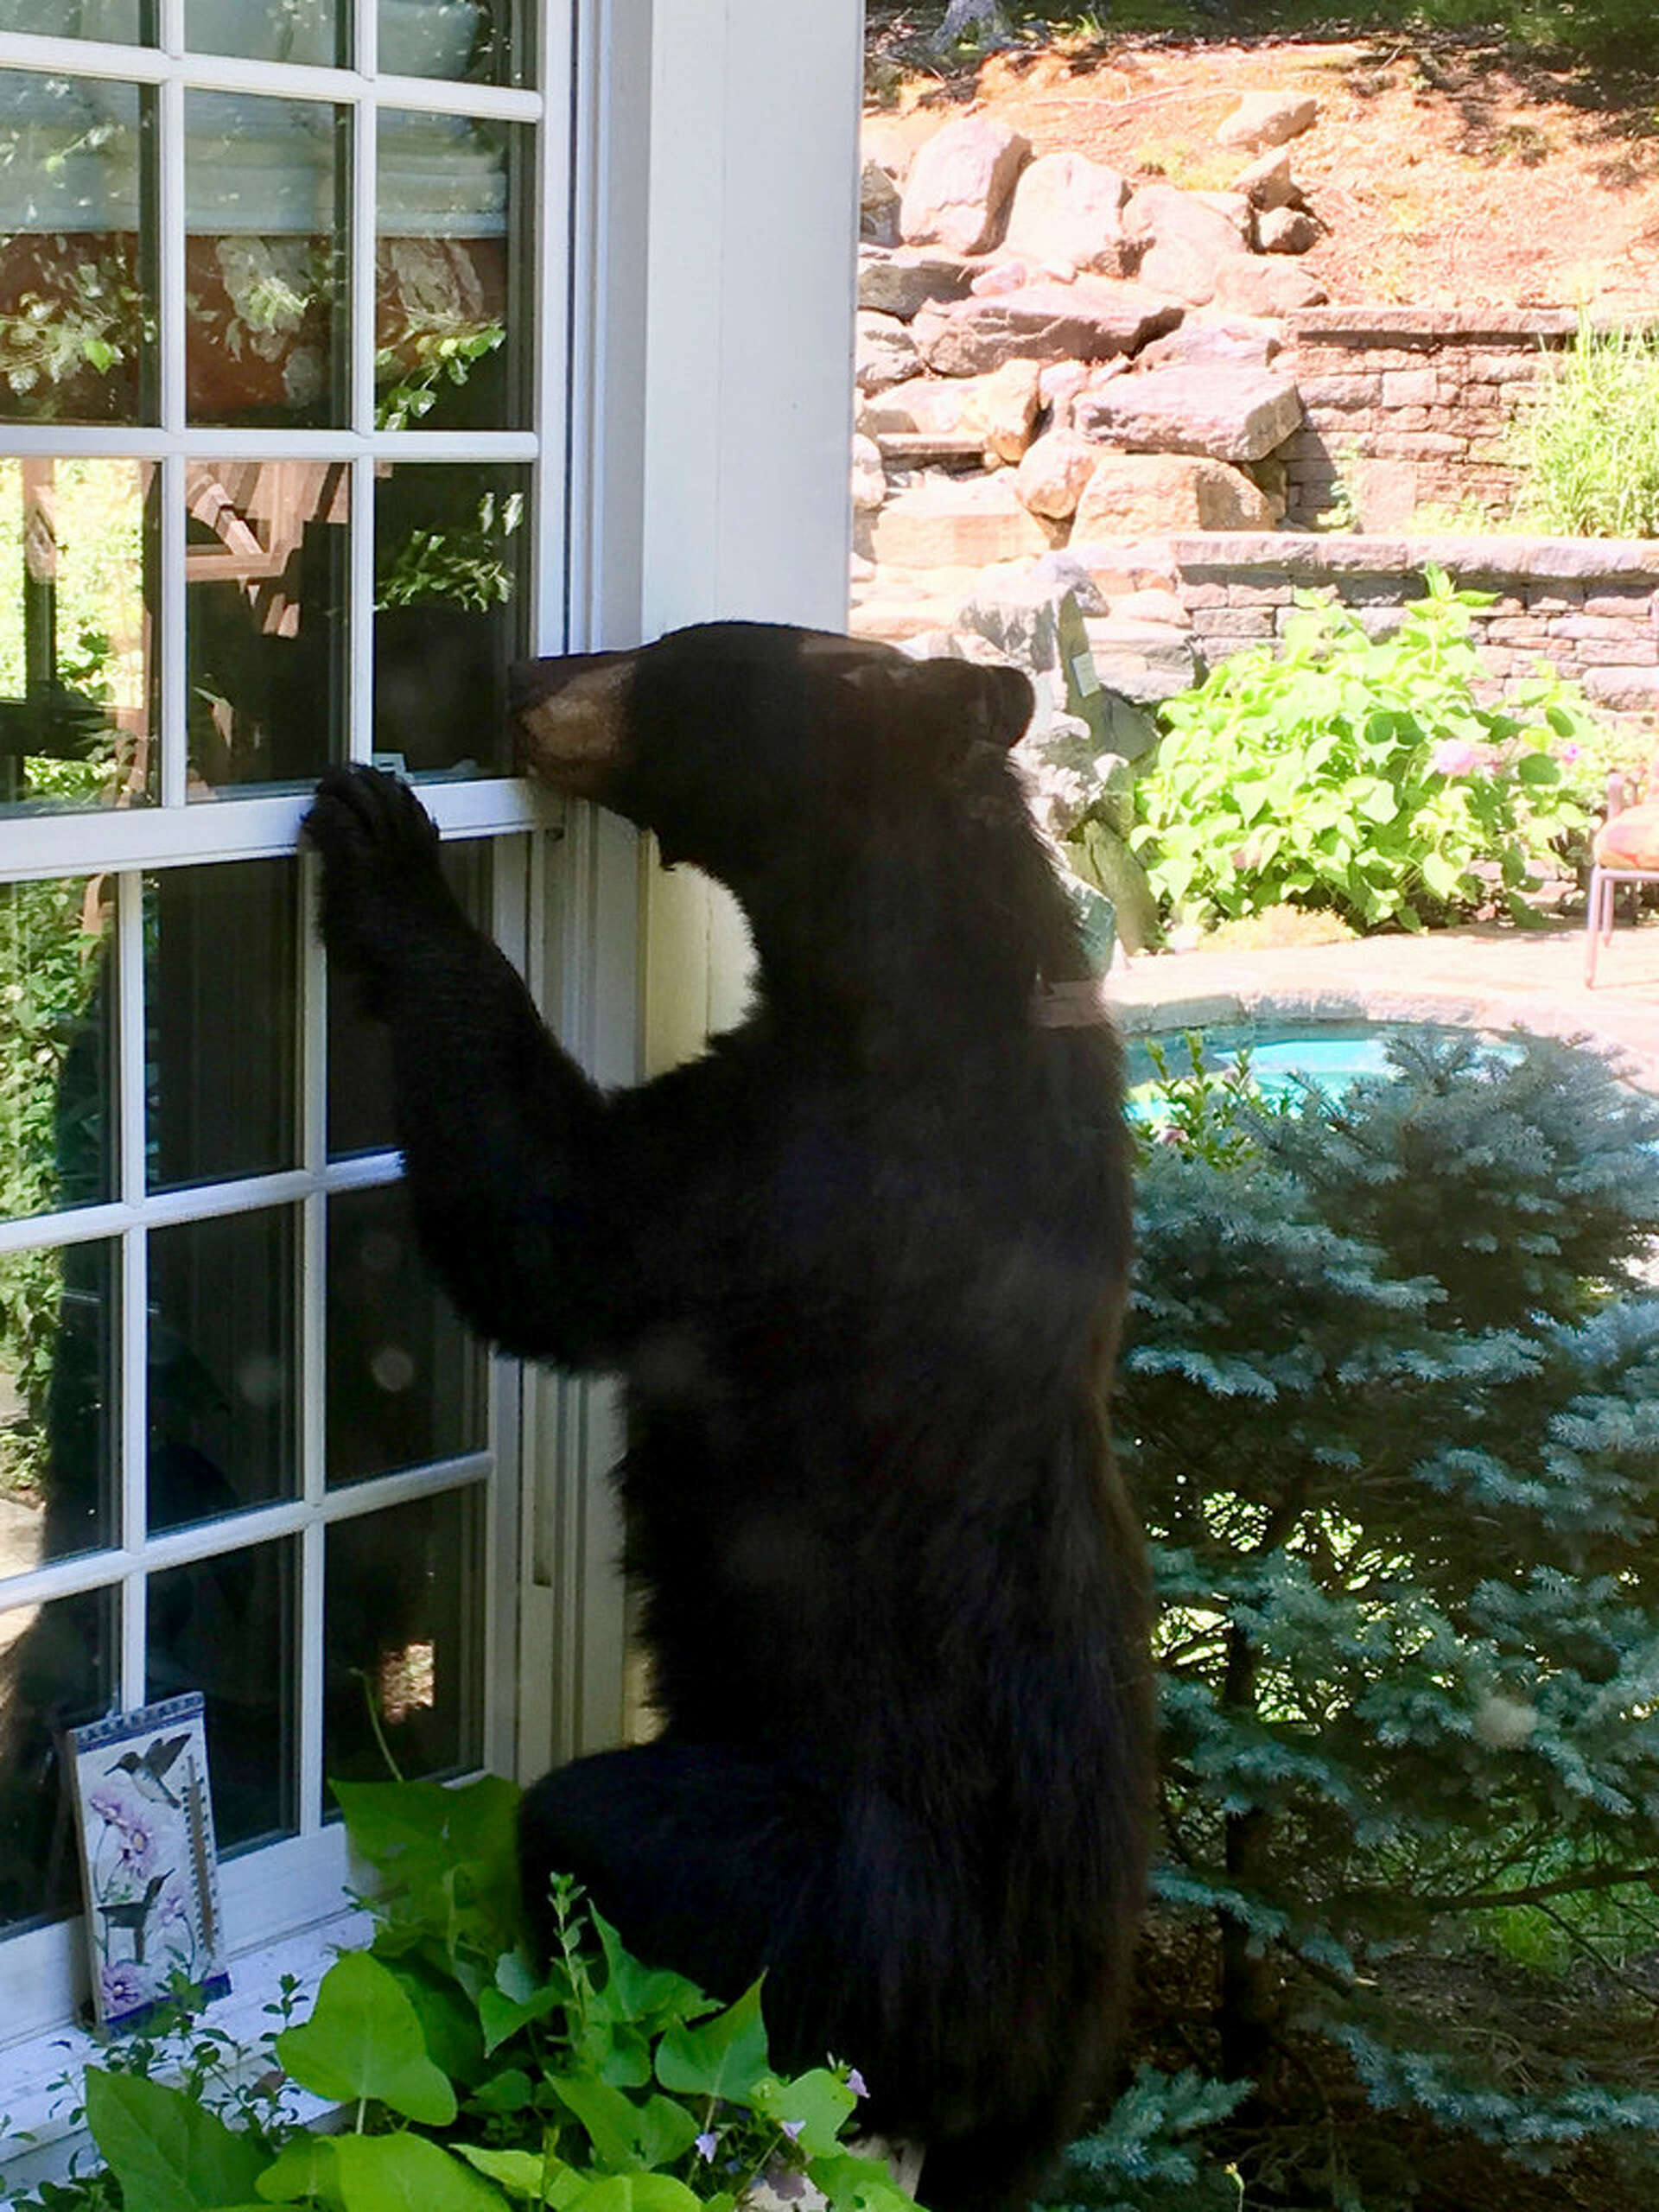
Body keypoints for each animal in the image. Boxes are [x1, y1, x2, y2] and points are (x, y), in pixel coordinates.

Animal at [302, 620, 1152, 2212]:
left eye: (679, 660)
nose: (519, 671)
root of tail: (1012, 2055)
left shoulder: (798, 1180)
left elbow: (560, 1222)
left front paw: (386, 845)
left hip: (817, 1882)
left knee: (601, 1845)